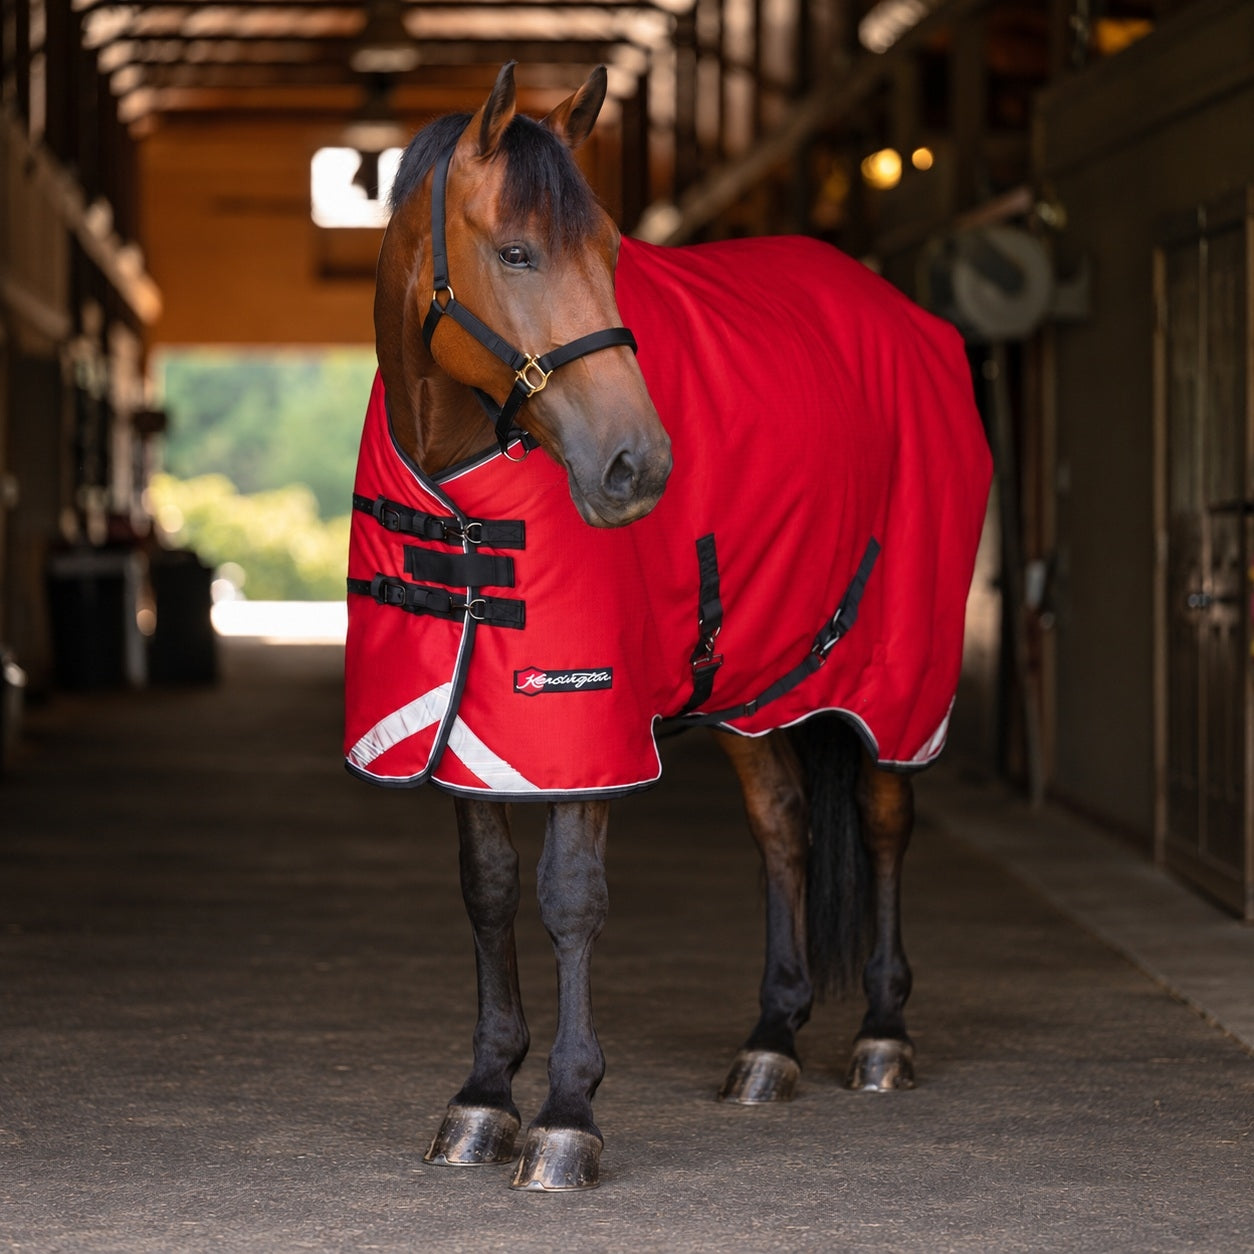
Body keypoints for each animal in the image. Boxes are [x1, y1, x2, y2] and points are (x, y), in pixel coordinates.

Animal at [346, 62, 991, 1191]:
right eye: (515, 251)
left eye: (613, 253)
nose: (636, 465)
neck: (463, 482)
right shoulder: (470, 724)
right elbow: (488, 889)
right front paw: (483, 1098)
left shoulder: (583, 726)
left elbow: (569, 896)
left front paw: (566, 1117)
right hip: (760, 682)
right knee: (782, 825)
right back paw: (772, 1044)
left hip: (896, 675)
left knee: (883, 817)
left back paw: (881, 1035)